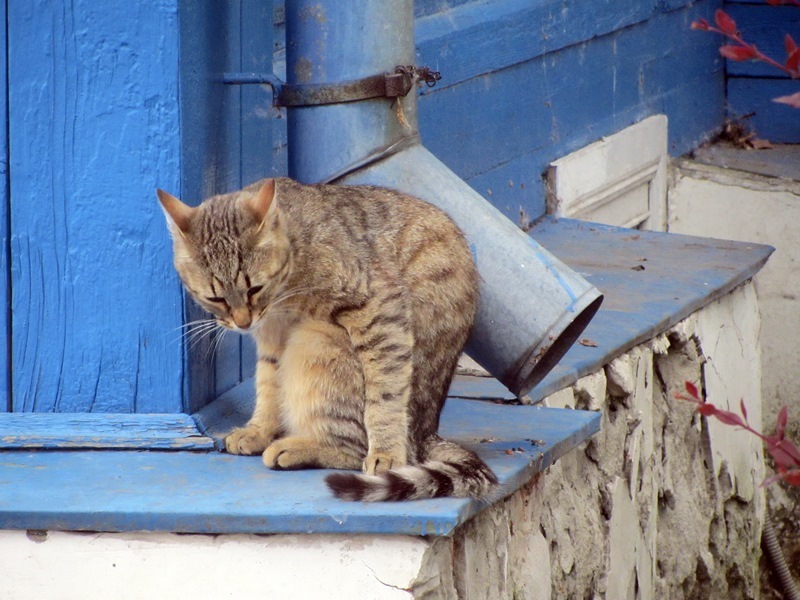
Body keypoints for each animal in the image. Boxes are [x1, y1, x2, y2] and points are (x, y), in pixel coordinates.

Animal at [157, 178, 496, 502]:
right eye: (214, 298)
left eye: (254, 289)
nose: (242, 322)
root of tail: (428, 433)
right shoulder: (272, 340)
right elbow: (267, 386)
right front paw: (258, 430)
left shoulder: (381, 310)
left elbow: (384, 396)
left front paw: (386, 451)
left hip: (316, 341)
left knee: (361, 445)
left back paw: (298, 448)